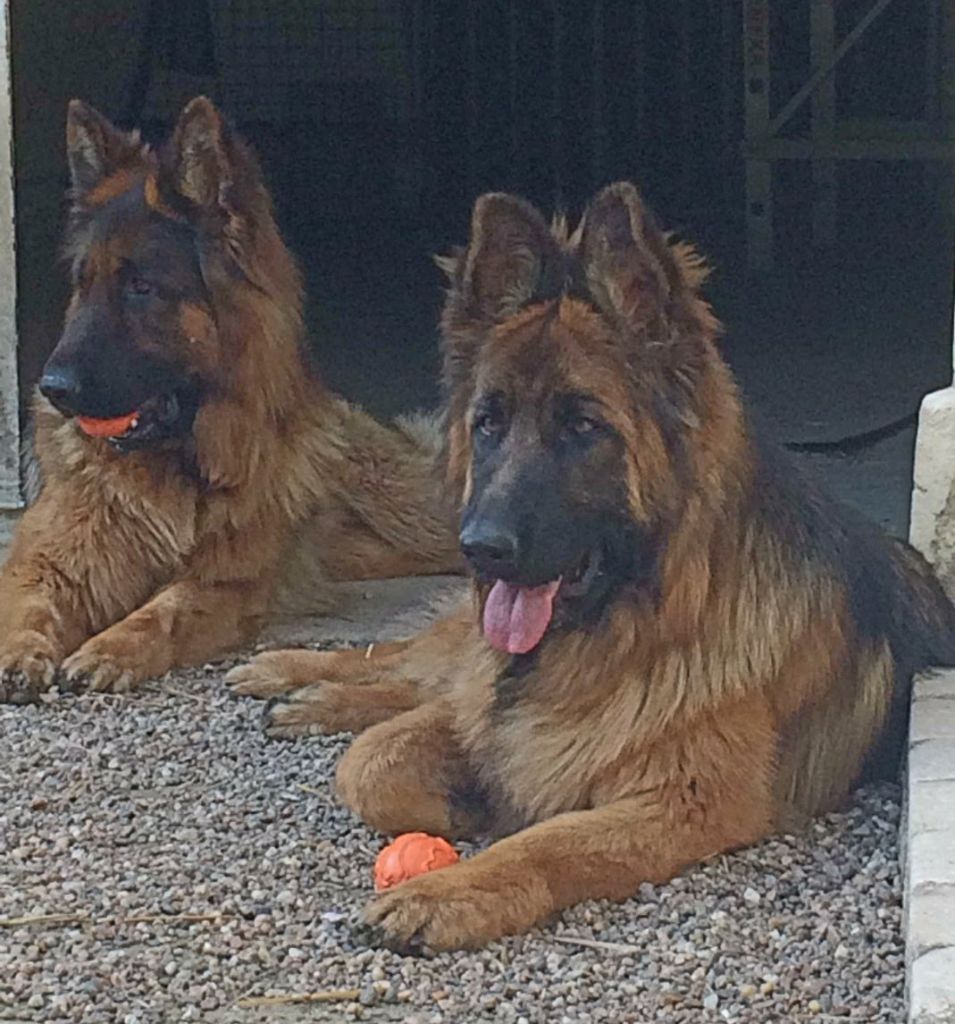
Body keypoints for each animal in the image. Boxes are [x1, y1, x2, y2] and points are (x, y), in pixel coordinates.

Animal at [0, 96, 458, 704]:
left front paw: (111, 648)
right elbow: (30, 603)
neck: (178, 467)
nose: (52, 390)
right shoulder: (48, 559)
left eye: (140, 286)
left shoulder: (229, 581)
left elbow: (165, 610)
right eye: (84, 283)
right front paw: (18, 652)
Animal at [229, 182, 953, 950]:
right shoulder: (484, 704)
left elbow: (543, 842)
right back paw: (291, 676)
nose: (479, 547)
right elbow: (370, 761)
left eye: (581, 426)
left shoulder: (684, 802)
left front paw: (449, 889)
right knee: (405, 662)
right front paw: (456, 795)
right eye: (488, 422)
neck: (631, 625)